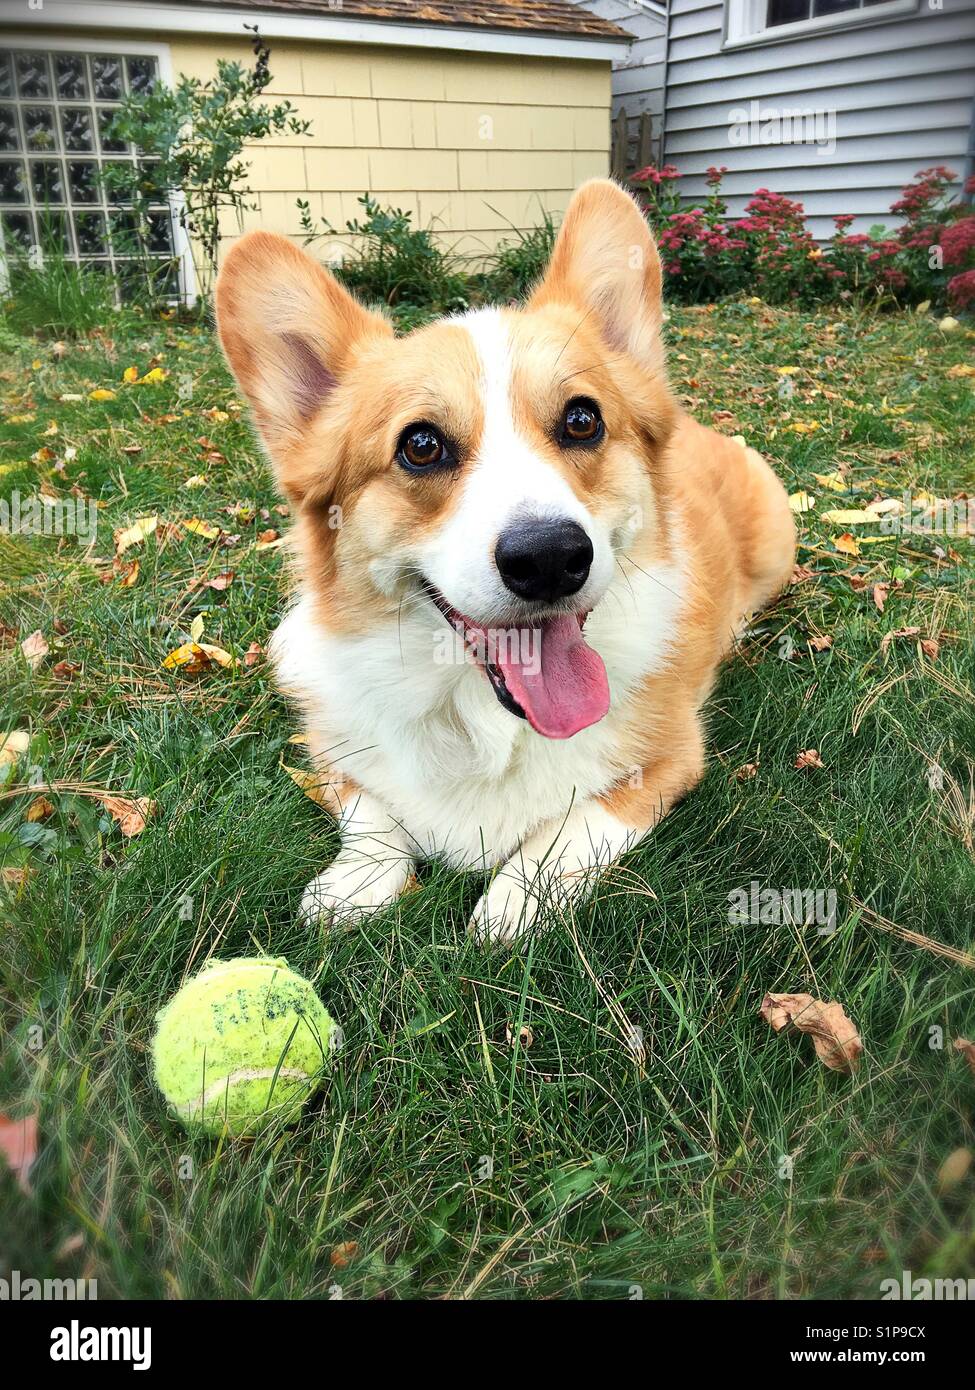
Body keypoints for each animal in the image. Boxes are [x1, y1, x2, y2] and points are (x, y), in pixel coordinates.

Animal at [216, 176, 795, 945]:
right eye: (420, 445)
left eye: (582, 420)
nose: (550, 559)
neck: (475, 715)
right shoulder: (326, 750)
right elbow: (374, 818)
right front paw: (349, 889)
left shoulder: (669, 762)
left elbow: (572, 827)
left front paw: (512, 904)